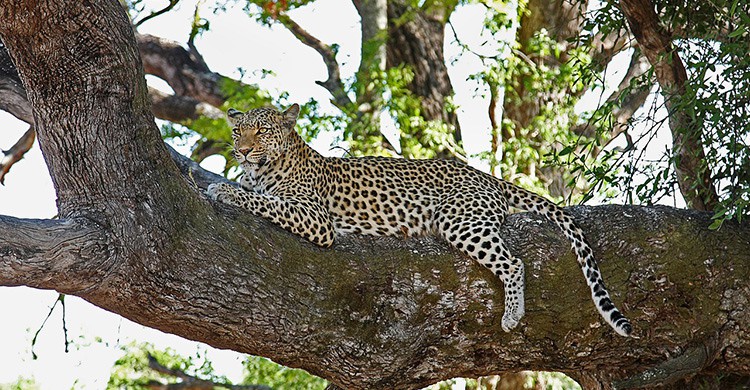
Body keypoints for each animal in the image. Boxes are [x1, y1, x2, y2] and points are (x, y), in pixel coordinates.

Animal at [207, 103, 636, 338]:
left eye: (262, 130)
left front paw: (225, 191)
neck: (262, 170)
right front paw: (230, 184)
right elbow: (260, 196)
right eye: (237, 130)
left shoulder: (316, 219)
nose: (241, 150)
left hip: (459, 219)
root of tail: (484, 174)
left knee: (514, 262)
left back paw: (513, 313)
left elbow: (265, 202)